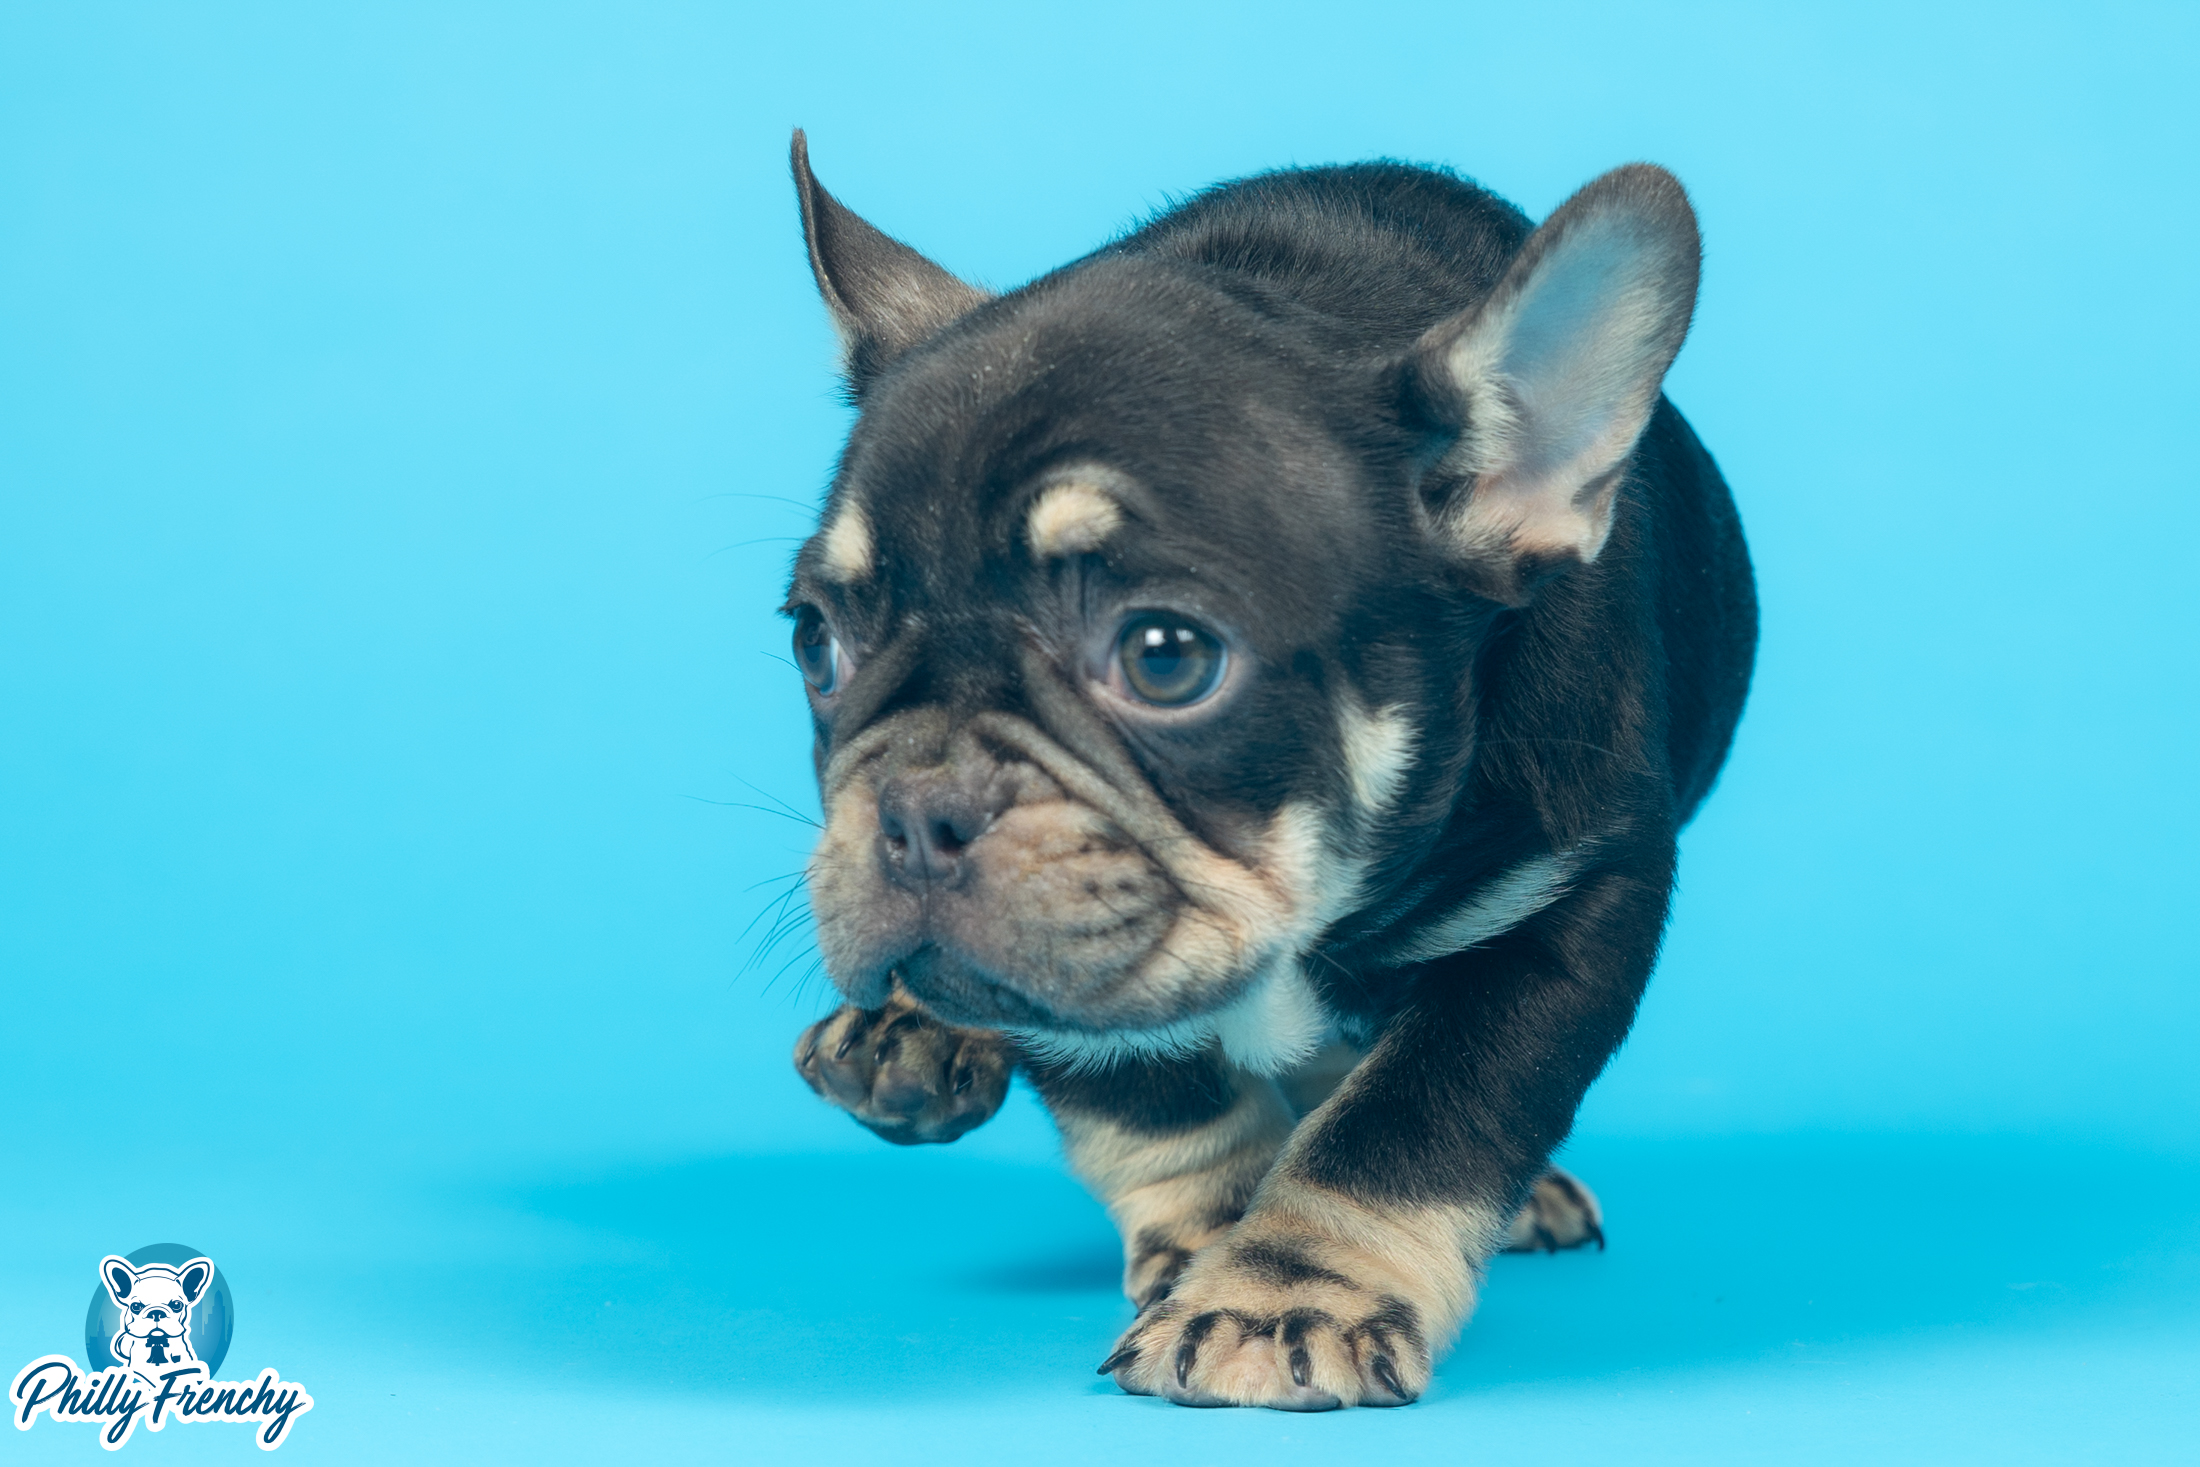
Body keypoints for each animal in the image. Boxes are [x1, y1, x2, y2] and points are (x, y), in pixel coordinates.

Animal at [783, 134, 1760, 1407]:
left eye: (1166, 656)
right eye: (814, 643)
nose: (911, 811)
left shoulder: (1568, 902)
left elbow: (1417, 1120)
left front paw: (1285, 1289)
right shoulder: (1088, 968)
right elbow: (1153, 1098)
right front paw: (1219, 1231)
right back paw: (905, 1032)